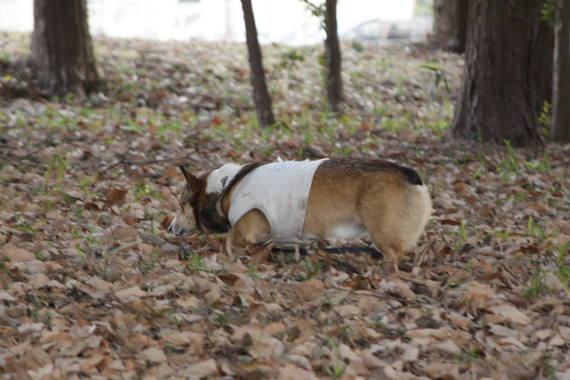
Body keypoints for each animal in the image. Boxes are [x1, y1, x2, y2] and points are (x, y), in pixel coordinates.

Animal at [169, 157, 430, 268]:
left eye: (180, 204)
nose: (169, 227)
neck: (226, 187)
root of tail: (408, 173)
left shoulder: (247, 228)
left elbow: (230, 241)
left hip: (381, 230)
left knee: (394, 252)